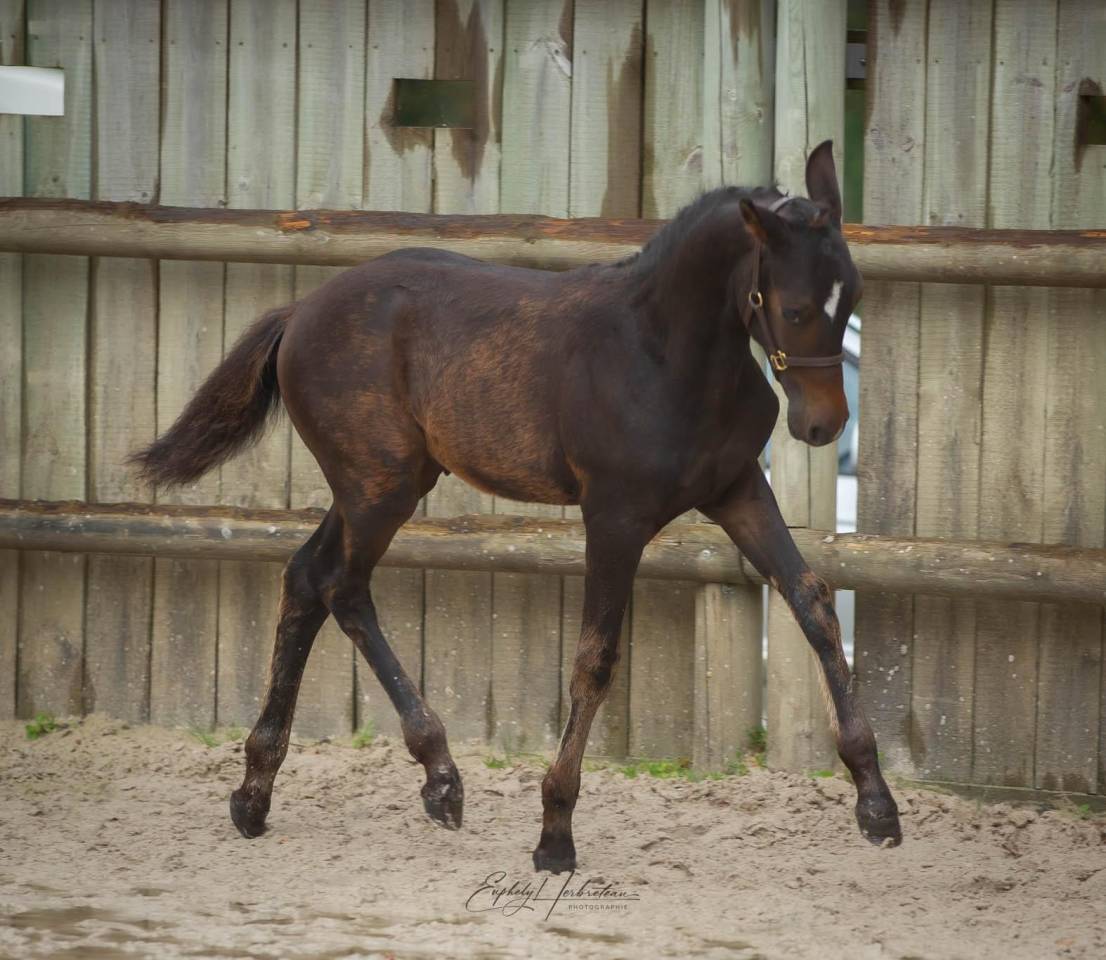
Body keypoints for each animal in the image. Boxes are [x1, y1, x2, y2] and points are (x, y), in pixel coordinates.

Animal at [131, 140, 901, 873]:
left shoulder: (737, 489)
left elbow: (813, 602)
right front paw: (555, 833)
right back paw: (429, 775)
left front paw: (877, 804)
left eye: (854, 295)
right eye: (794, 308)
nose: (824, 425)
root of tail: (299, 312)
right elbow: (595, 658)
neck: (663, 356)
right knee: (341, 586)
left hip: (387, 481)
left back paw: (265, 793)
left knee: (306, 578)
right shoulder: (614, 517)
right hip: (377, 485)